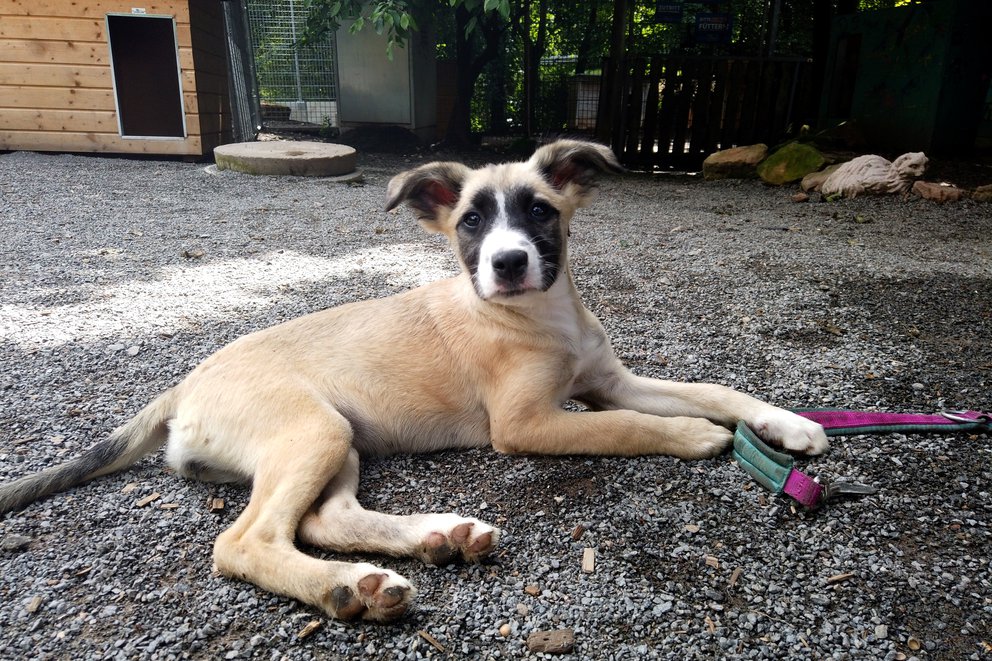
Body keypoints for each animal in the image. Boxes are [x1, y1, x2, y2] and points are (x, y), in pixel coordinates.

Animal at [0, 139, 824, 620]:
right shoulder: (528, 422)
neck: (544, 316)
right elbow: (629, 426)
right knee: (245, 541)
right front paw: (693, 435)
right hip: (312, 428)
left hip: (337, 437)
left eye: (540, 211)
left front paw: (787, 425)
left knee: (324, 519)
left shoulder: (608, 381)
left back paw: (432, 539)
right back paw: (343, 589)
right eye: (469, 223)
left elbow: (714, 389)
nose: (508, 264)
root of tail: (183, 385)